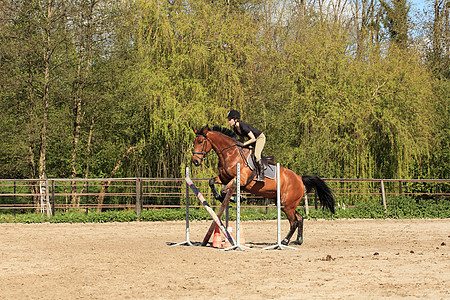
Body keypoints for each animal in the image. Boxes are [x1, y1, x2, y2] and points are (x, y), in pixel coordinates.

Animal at [190, 125, 334, 245]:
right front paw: (220, 196)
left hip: (287, 205)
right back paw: (298, 240)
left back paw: (284, 241)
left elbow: (225, 190)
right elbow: (212, 182)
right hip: (285, 204)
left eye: (201, 142)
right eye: (194, 142)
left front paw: (237, 198)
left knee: (293, 222)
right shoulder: (224, 178)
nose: (195, 161)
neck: (230, 153)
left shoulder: (239, 180)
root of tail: (299, 178)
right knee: (300, 218)